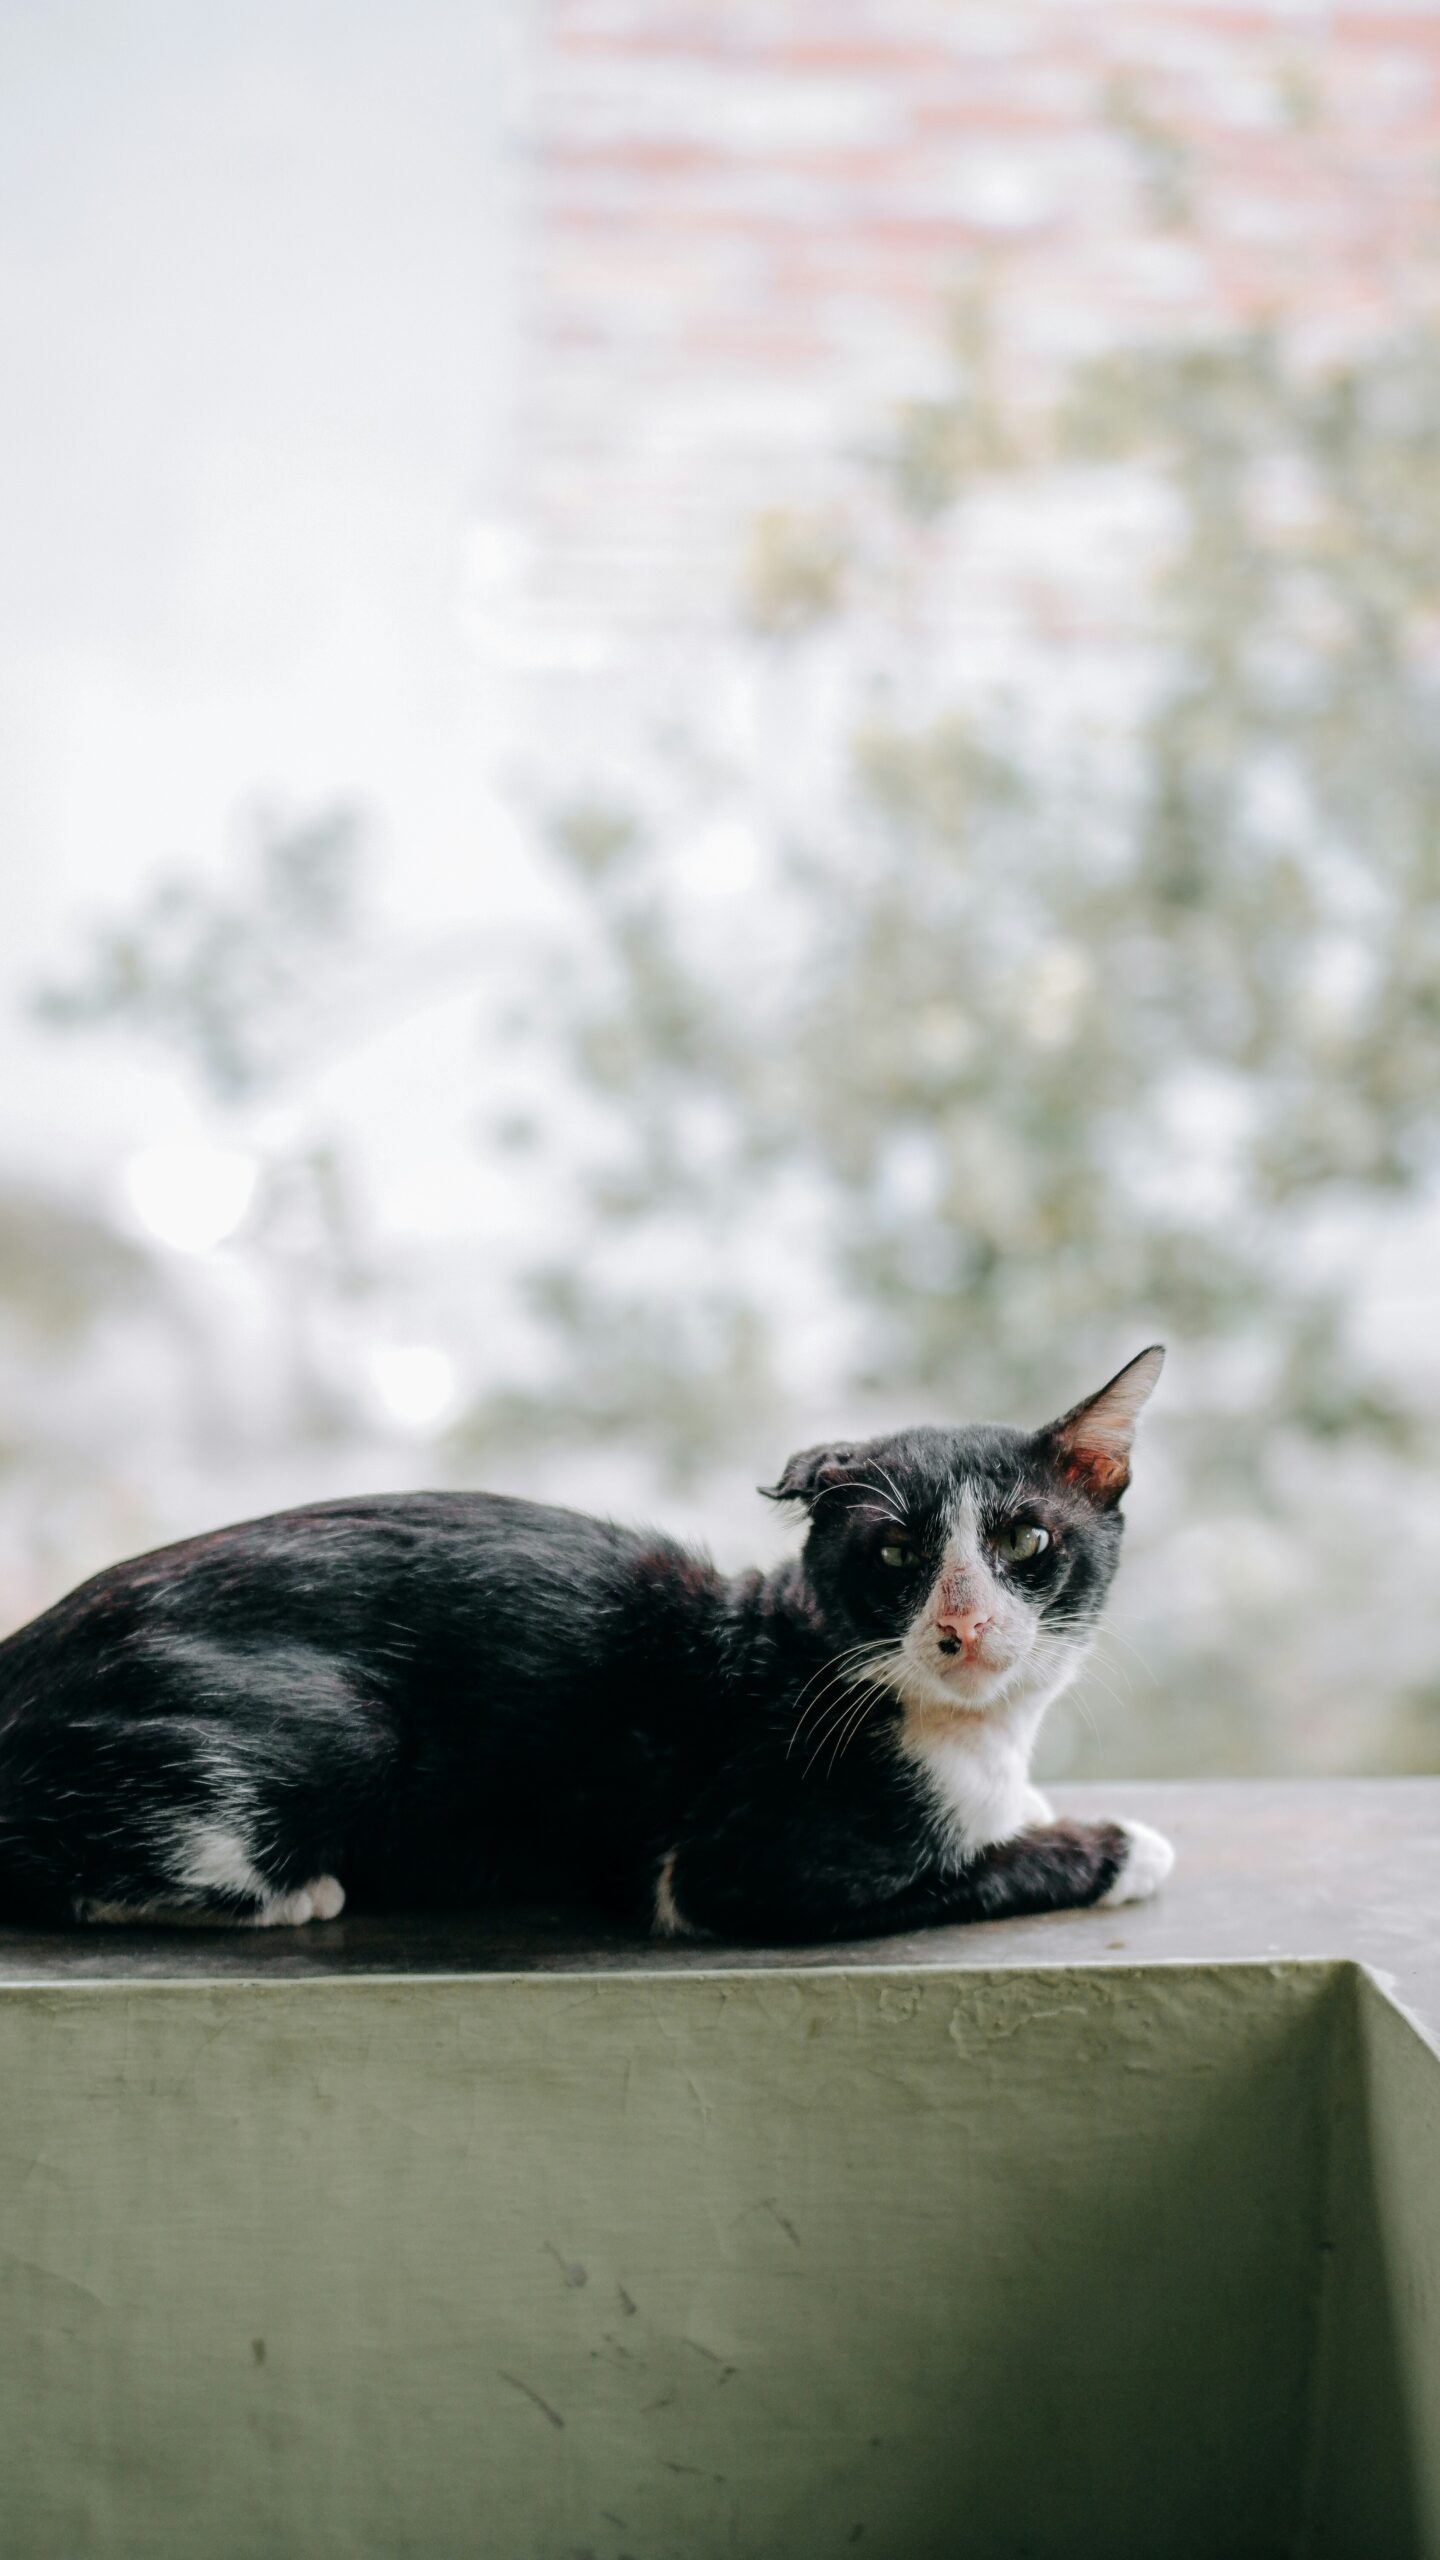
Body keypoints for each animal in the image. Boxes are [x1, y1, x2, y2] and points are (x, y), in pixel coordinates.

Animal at [0, 1351, 1173, 1925]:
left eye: (1025, 1539)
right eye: (893, 1554)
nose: (963, 1624)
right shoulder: (736, 1862)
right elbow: (986, 1867)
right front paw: (1127, 1846)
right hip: (339, 1727)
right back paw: (294, 1894)